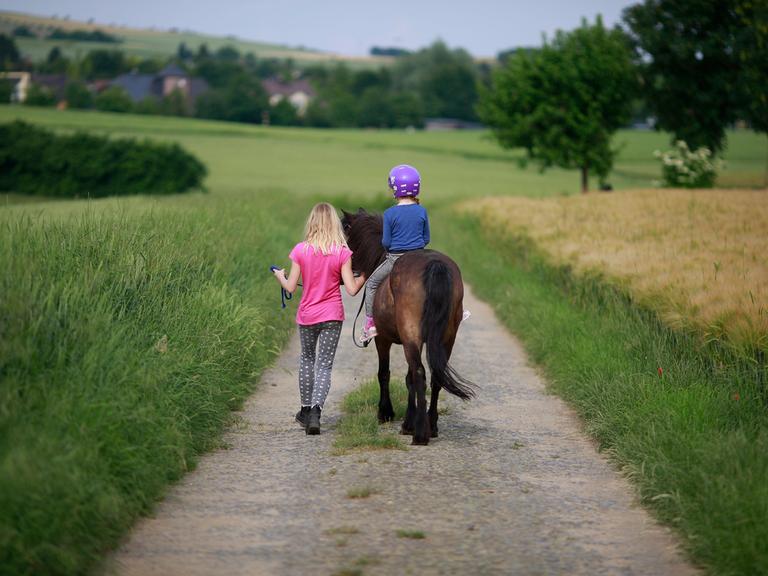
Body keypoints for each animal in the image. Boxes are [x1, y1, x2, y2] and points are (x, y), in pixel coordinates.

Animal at [342, 208, 474, 446]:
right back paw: (431, 426)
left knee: (420, 373)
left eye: (346, 234)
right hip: (446, 337)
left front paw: (386, 413)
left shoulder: (383, 340)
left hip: (411, 336)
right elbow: (407, 378)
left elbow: (384, 373)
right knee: (435, 375)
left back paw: (420, 434)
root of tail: (435, 265)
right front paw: (408, 421)